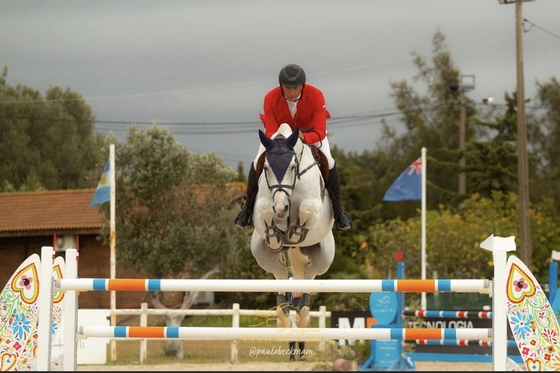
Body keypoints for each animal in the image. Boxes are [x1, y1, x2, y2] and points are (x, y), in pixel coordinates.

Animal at [252, 123, 334, 326]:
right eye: (266, 168)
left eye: (292, 167)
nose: (281, 208)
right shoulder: (262, 205)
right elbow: (265, 208)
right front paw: (275, 235)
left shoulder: (315, 205)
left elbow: (306, 208)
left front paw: (294, 232)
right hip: (260, 252)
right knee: (281, 274)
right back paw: (283, 312)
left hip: (324, 256)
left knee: (310, 273)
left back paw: (303, 313)